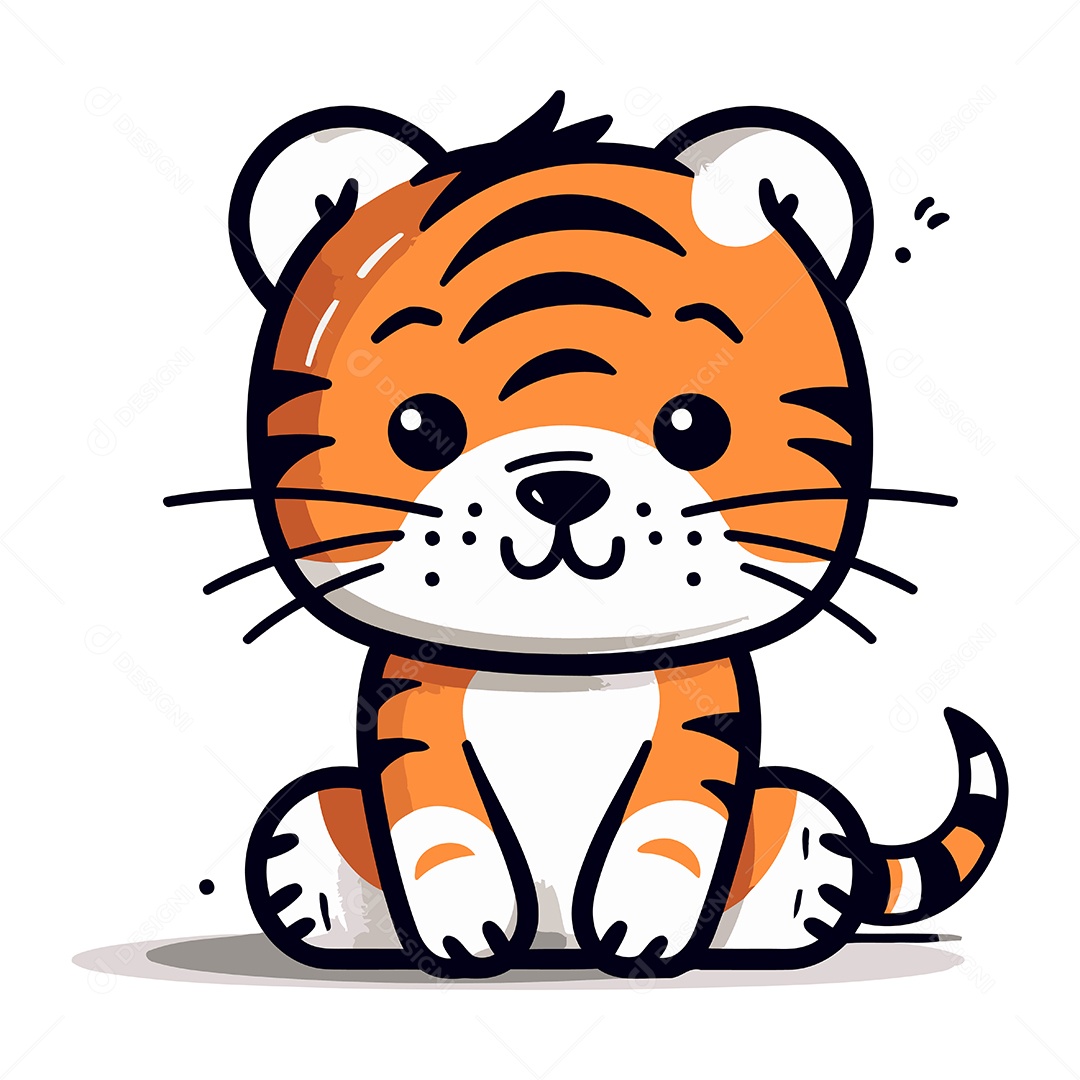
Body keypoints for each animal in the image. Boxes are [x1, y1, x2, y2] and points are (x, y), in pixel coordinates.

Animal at [168, 92, 1008, 979]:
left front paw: (644, 933)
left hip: (793, 809)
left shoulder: (703, 710)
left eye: (694, 423)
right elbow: (438, 831)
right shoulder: (410, 704)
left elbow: (671, 828)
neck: (559, 669)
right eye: (418, 424)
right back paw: (322, 908)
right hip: (320, 809)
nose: (562, 485)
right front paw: (464, 932)